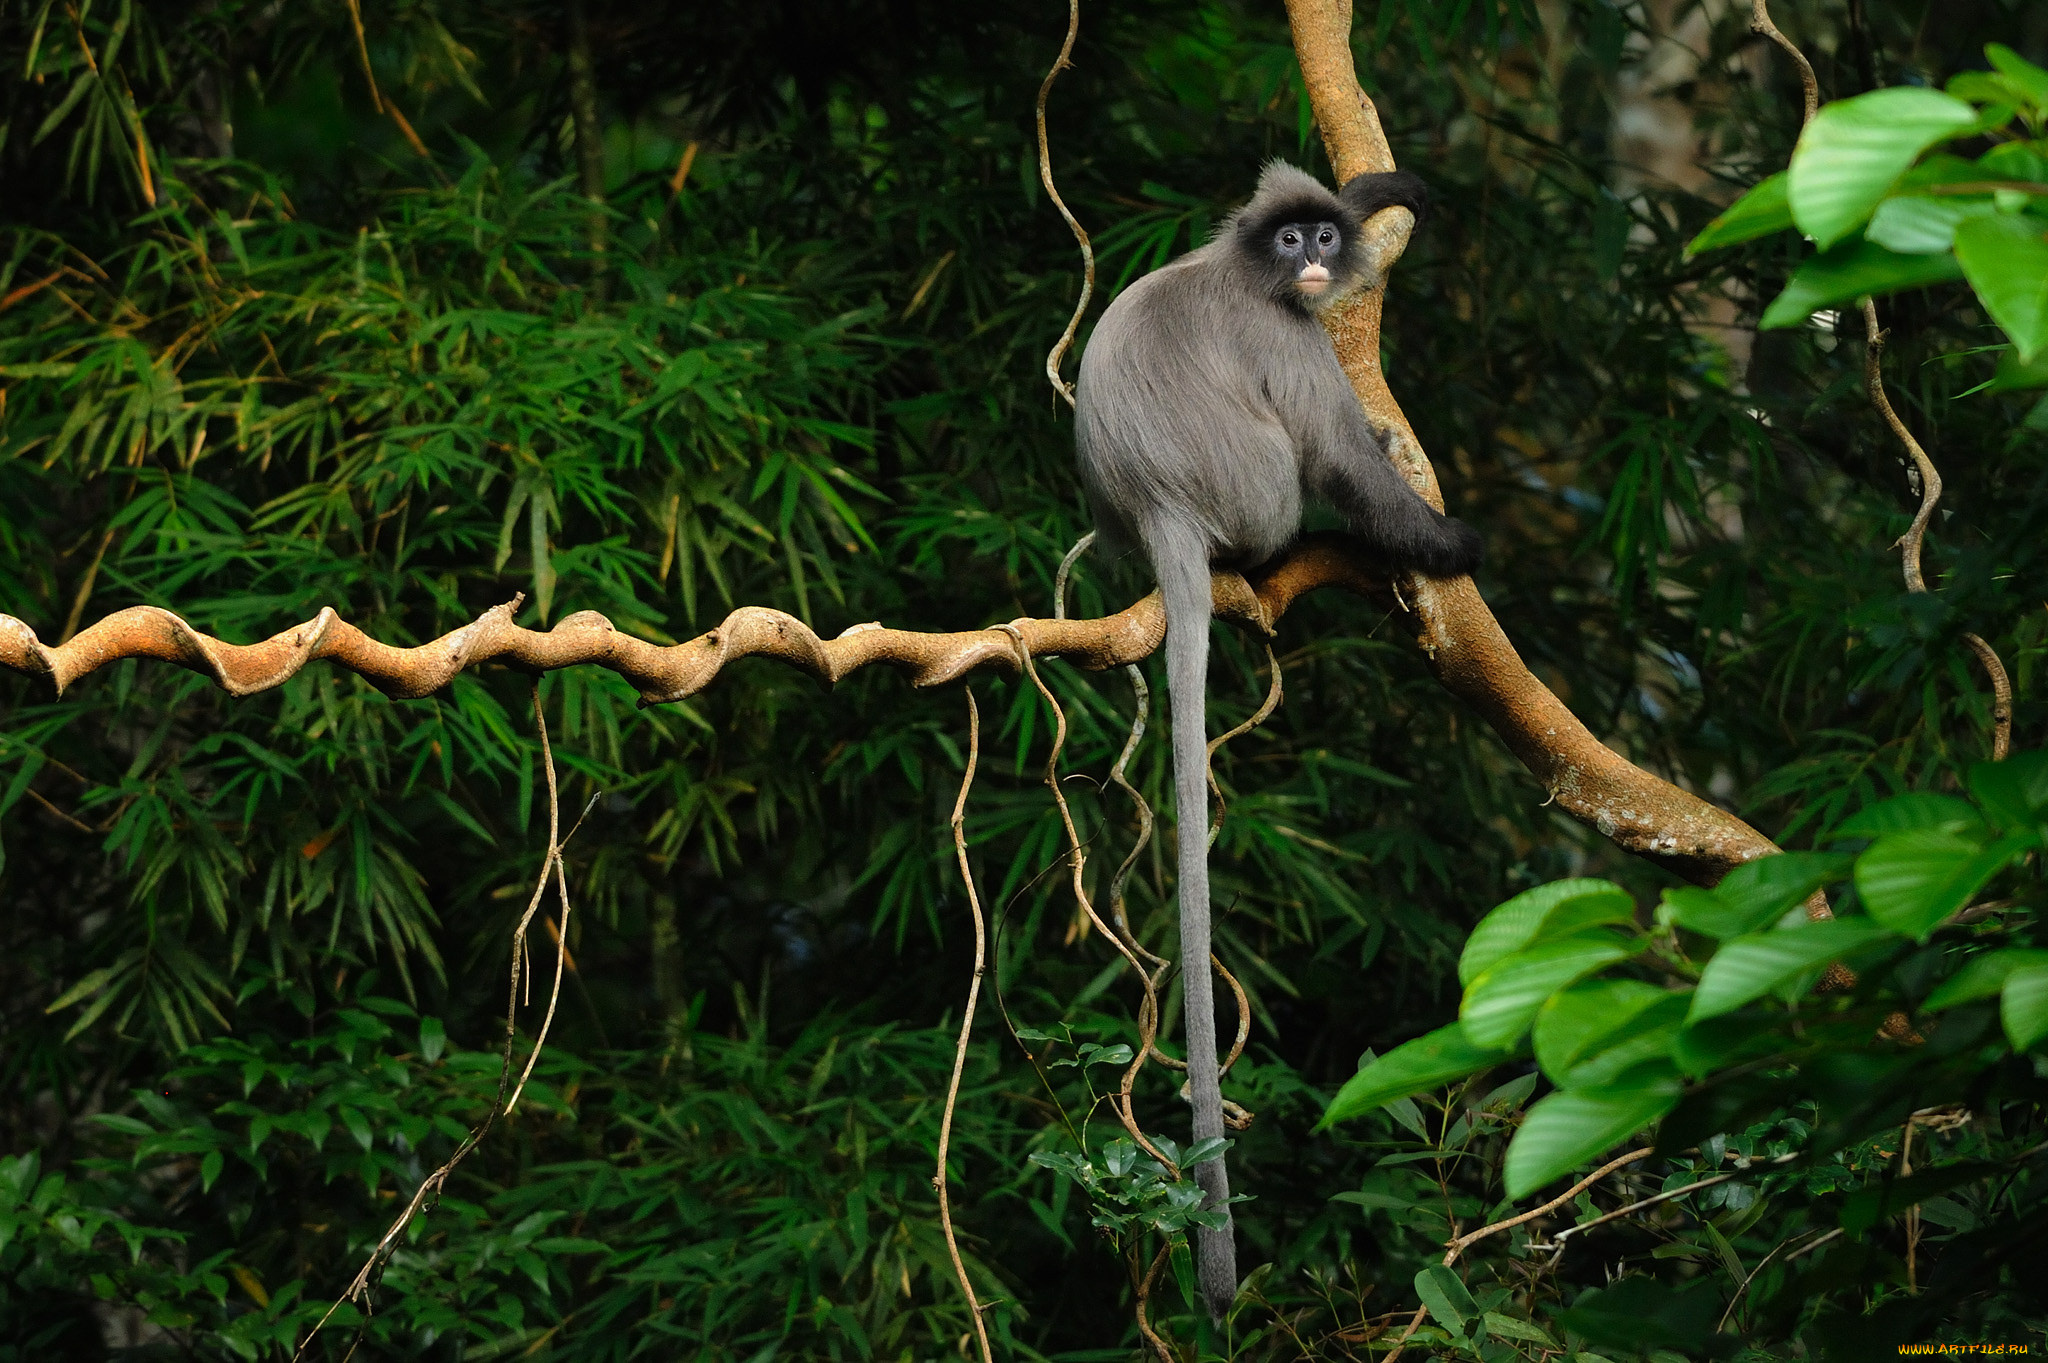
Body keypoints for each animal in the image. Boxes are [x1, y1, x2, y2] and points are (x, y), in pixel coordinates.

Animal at [1064, 159, 1482, 1317]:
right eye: (1288, 241)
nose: (1313, 257)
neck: (1245, 270)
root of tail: (1160, 513)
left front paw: (1382, 190)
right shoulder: (1283, 335)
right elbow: (1335, 453)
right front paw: (1449, 543)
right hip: (1252, 494)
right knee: (1304, 465)